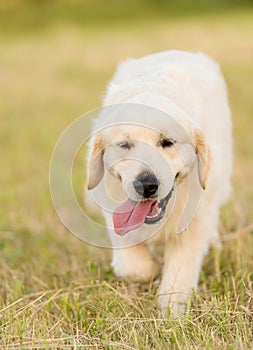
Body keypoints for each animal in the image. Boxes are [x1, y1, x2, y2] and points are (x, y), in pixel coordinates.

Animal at [86, 50, 232, 316]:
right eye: (124, 145)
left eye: (167, 142)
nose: (146, 185)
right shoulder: (113, 210)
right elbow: (134, 265)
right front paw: (152, 269)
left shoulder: (196, 219)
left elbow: (180, 268)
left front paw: (171, 311)